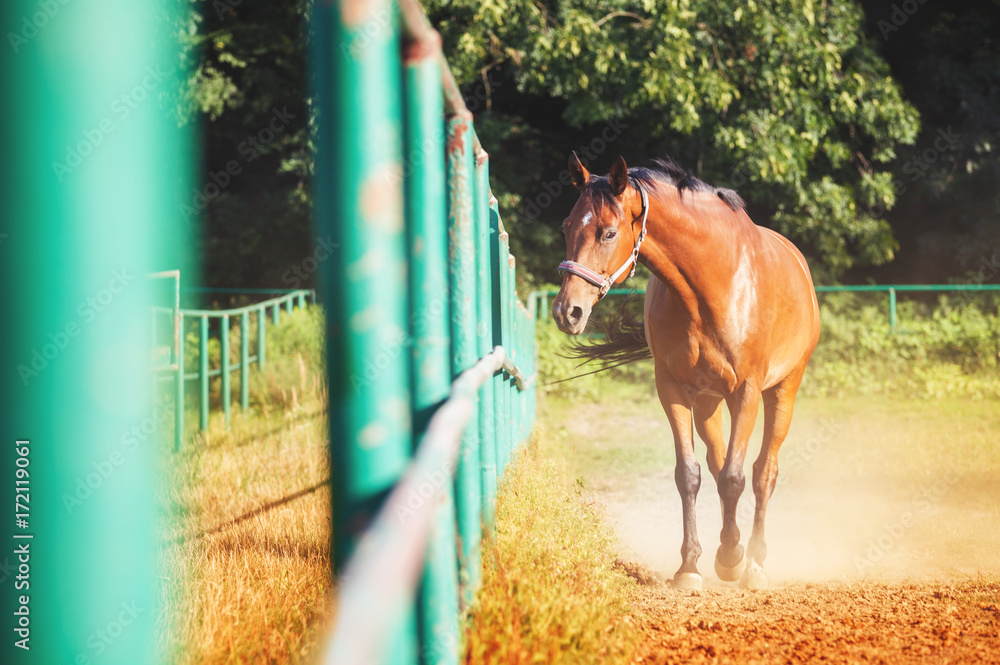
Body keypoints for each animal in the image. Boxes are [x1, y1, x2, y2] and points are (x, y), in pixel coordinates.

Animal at [556, 153, 820, 588]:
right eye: (566, 226)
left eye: (608, 233)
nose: (568, 311)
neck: (711, 285)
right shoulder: (673, 390)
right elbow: (690, 475)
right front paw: (691, 565)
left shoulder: (747, 391)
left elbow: (736, 476)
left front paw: (732, 559)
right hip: (709, 403)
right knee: (718, 464)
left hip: (783, 389)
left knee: (763, 472)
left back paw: (754, 562)